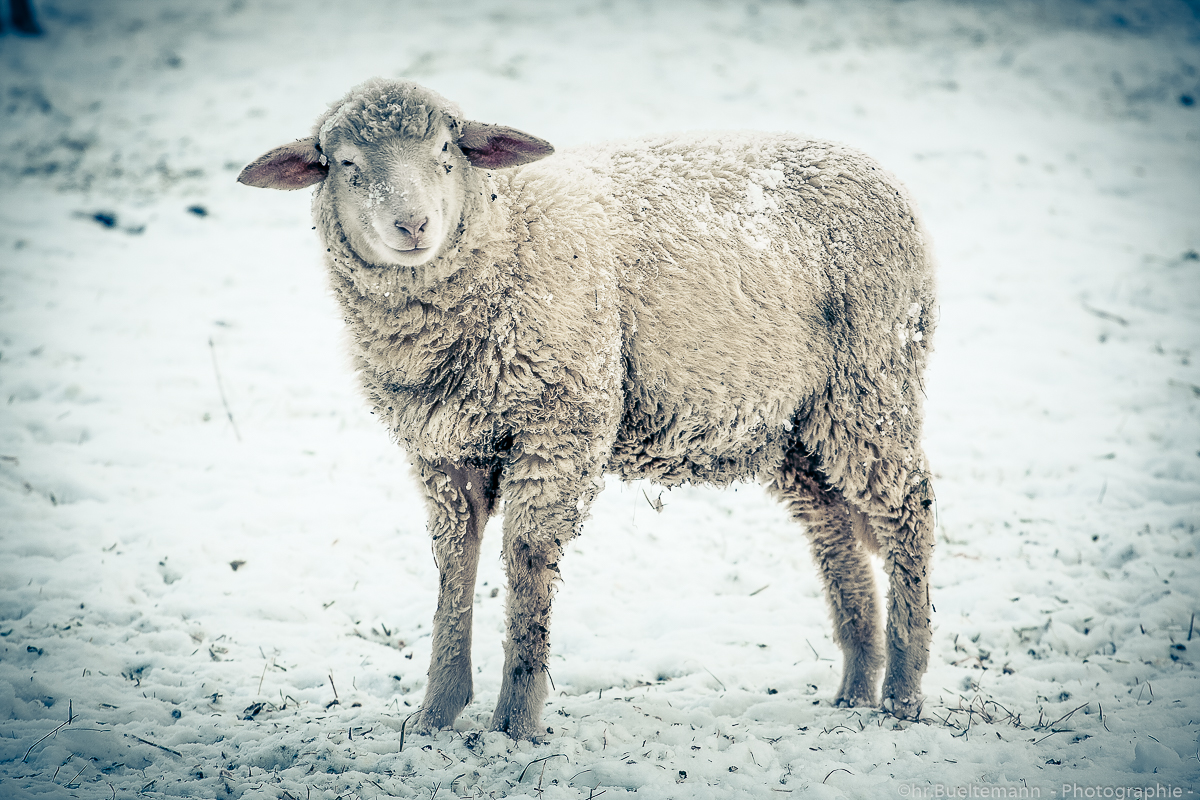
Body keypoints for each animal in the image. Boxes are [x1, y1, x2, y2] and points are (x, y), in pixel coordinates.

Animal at [238, 77, 936, 743]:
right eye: (344, 163)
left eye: (445, 149)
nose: (411, 227)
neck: (505, 233)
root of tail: (880, 172)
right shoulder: (445, 450)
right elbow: (453, 563)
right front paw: (436, 712)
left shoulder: (558, 429)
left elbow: (526, 558)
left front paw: (514, 723)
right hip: (794, 425)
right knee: (835, 531)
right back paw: (855, 686)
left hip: (870, 386)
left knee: (908, 512)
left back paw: (902, 692)